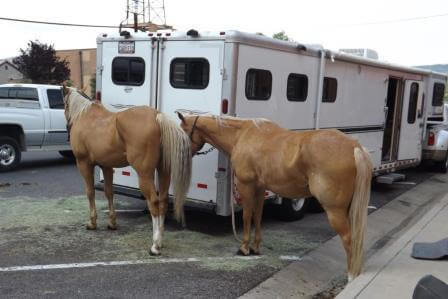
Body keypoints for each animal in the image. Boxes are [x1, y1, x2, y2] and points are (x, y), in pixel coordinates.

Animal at [62, 87, 191, 255]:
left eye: (63, 104)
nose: (66, 128)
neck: (85, 116)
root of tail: (157, 117)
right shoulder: (106, 167)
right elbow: (109, 192)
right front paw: (112, 223)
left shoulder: (84, 164)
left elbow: (90, 192)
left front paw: (92, 223)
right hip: (164, 172)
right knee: (163, 202)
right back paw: (161, 241)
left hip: (144, 175)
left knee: (154, 202)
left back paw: (155, 245)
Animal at [177, 111, 372, 280]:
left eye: (183, 131)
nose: (181, 157)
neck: (242, 135)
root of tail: (355, 147)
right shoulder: (260, 188)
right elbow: (257, 216)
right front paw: (255, 248)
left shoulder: (246, 186)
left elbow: (247, 216)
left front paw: (244, 248)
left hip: (334, 210)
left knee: (348, 239)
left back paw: (351, 276)